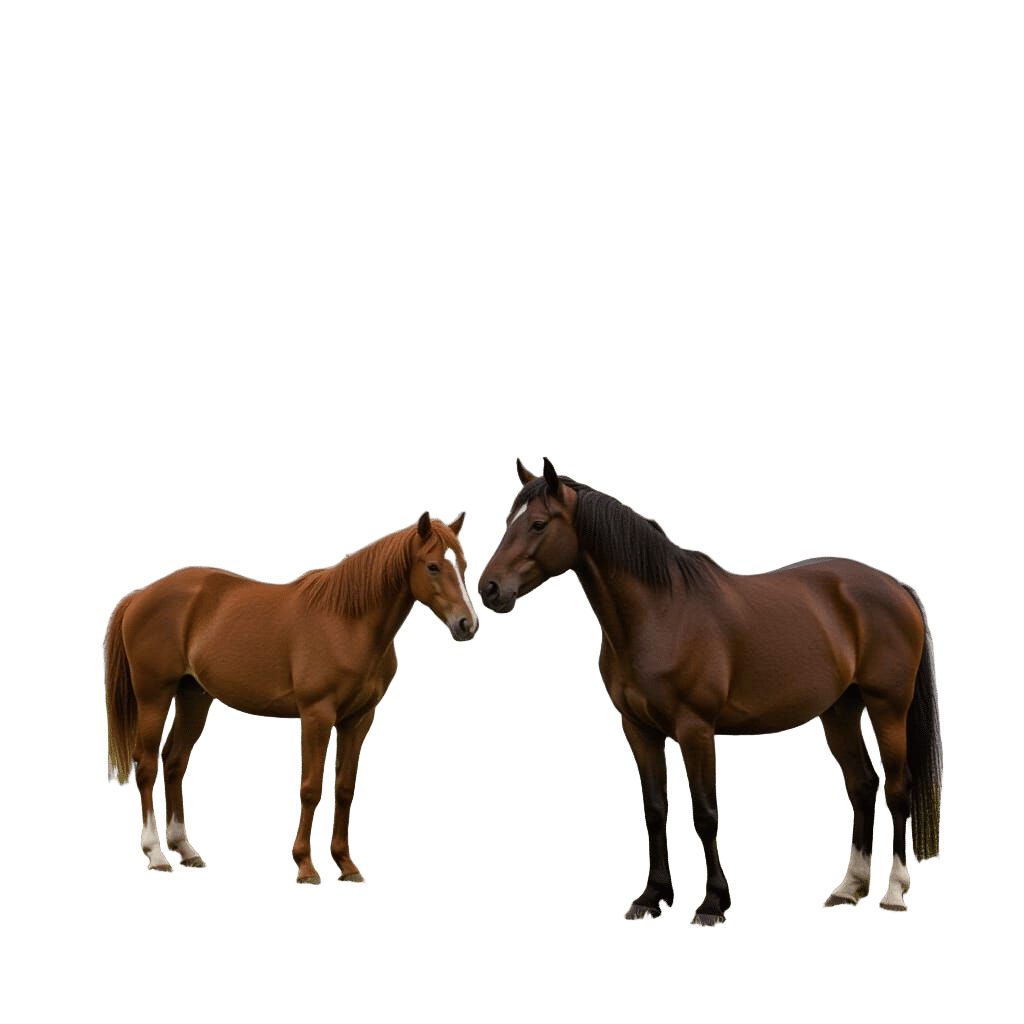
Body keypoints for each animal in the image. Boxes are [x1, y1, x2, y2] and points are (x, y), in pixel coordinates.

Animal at [104, 510, 479, 885]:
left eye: (461, 564)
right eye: (433, 566)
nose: (468, 624)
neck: (348, 622)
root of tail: (141, 595)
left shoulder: (359, 718)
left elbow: (345, 789)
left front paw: (346, 865)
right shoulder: (317, 715)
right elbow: (311, 789)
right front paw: (305, 866)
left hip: (194, 697)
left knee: (175, 761)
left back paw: (186, 850)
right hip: (154, 696)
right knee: (147, 766)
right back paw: (156, 855)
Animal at [478, 457, 942, 927]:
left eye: (538, 524)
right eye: (509, 520)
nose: (489, 589)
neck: (661, 614)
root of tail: (896, 586)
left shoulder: (695, 729)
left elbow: (705, 814)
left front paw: (712, 902)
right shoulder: (638, 729)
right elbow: (654, 810)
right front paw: (651, 896)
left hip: (888, 707)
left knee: (897, 789)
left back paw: (893, 893)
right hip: (839, 711)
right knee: (862, 785)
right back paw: (849, 888)